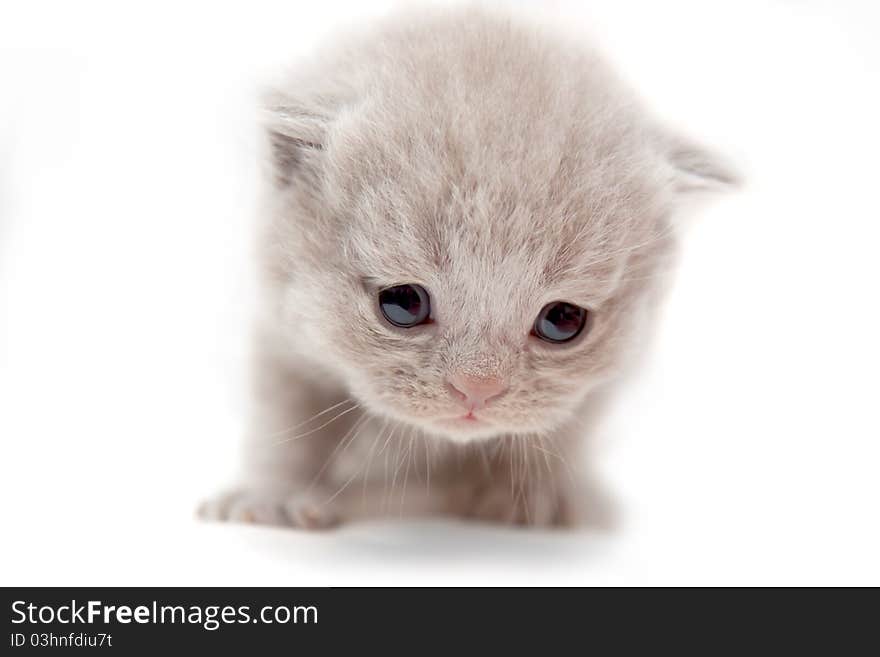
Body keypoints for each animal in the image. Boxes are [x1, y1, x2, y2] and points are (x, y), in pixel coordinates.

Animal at [198, 5, 736, 528]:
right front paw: (272, 496)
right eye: (402, 304)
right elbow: (285, 420)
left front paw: (534, 494)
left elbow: (566, 433)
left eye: (563, 320)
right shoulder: (281, 335)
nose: (477, 389)